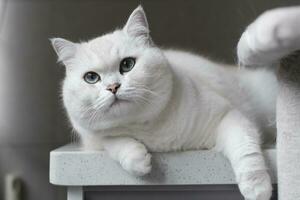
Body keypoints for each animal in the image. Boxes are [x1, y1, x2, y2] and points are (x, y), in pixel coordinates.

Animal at [50, 5, 282, 199]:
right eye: (91, 78)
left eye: (127, 64)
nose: (113, 87)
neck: (148, 131)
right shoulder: (92, 139)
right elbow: (114, 140)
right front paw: (139, 161)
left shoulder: (229, 117)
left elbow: (245, 150)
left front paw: (257, 189)